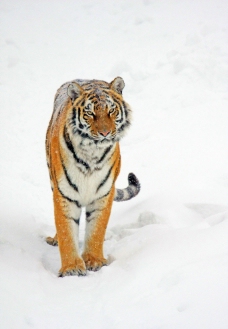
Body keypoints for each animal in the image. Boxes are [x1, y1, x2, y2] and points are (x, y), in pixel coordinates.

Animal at [45, 77, 140, 276]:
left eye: (111, 111)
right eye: (90, 113)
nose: (105, 133)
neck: (92, 154)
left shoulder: (103, 195)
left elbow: (96, 230)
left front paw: (94, 260)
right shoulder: (64, 194)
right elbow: (66, 231)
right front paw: (72, 268)